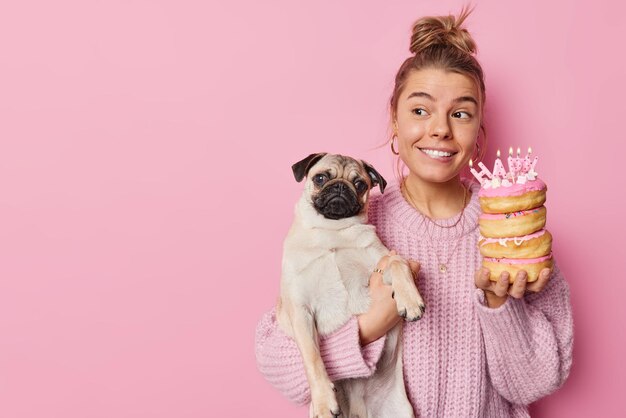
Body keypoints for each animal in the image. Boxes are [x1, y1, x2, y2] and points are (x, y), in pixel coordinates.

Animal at [278, 153, 424, 418]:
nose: (339, 187)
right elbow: (313, 359)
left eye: (360, 184)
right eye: (320, 178)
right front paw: (324, 402)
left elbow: (398, 263)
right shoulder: (301, 311)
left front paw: (410, 300)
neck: (332, 231)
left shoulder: (382, 260)